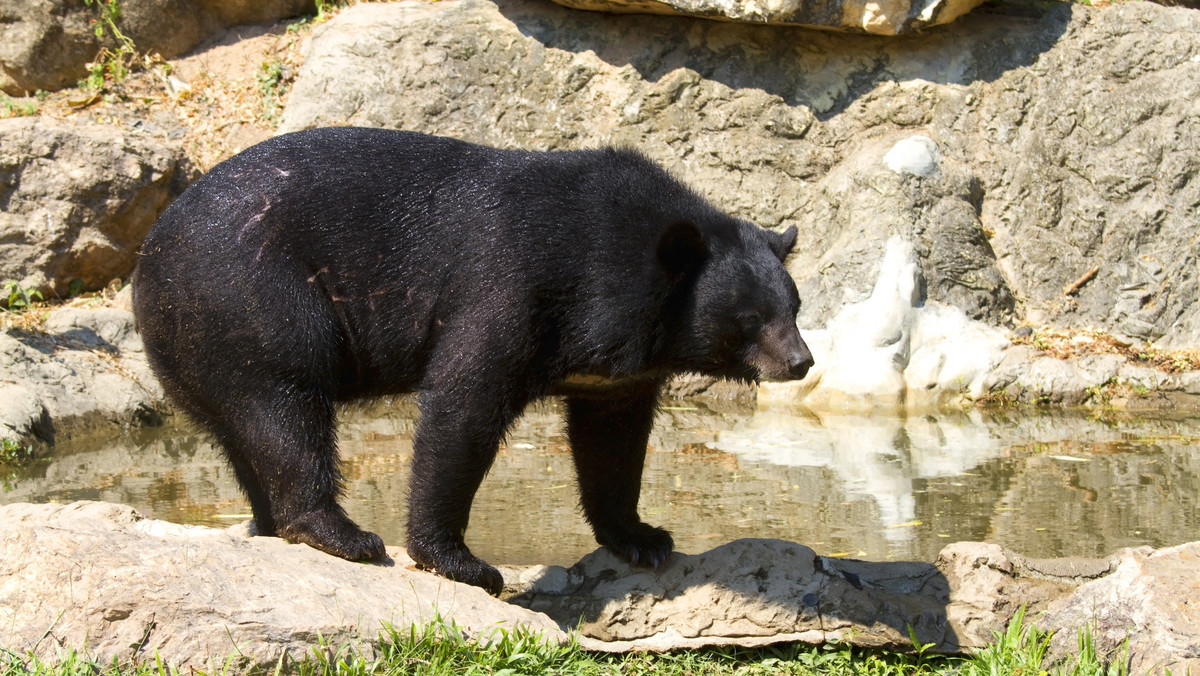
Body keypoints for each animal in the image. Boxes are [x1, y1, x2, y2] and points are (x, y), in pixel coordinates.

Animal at [136, 127, 816, 593]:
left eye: (795, 305)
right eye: (750, 318)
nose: (801, 361)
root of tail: (150, 257)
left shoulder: (613, 371)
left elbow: (613, 437)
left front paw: (643, 538)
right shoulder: (512, 285)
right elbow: (464, 405)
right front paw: (462, 563)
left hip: (199, 345)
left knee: (243, 433)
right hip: (253, 301)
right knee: (286, 410)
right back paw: (344, 535)